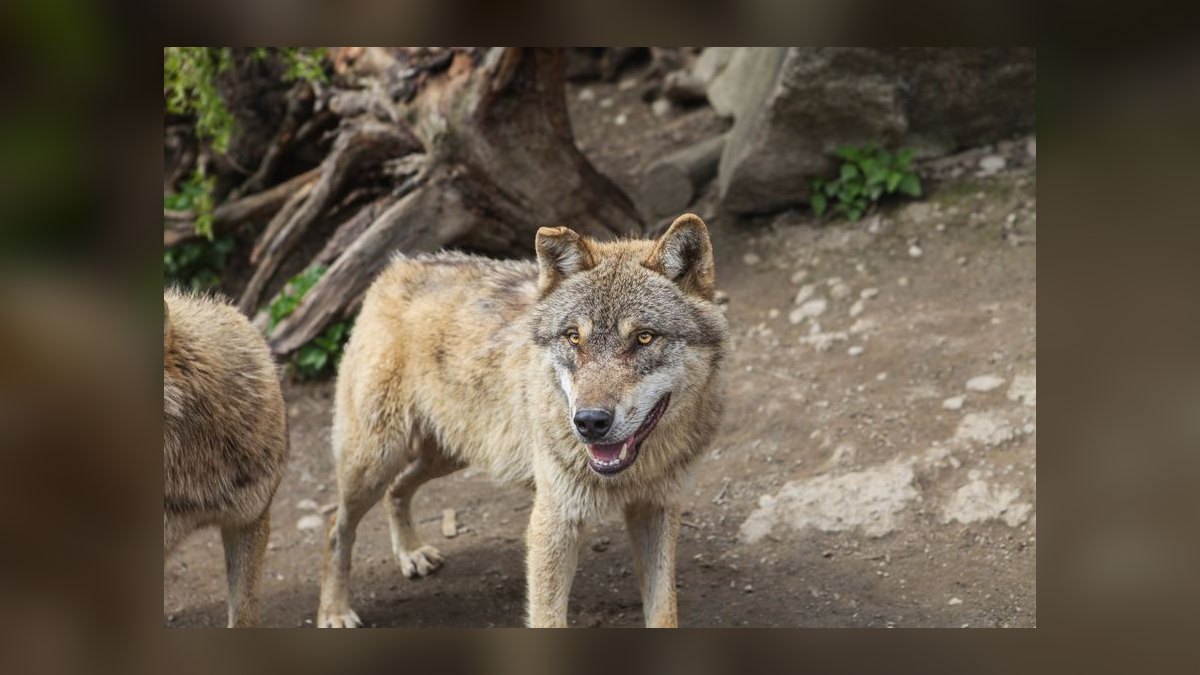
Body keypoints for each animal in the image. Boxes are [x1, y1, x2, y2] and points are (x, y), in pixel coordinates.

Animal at [317, 213, 728, 628]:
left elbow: (664, 610)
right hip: (375, 462)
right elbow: (547, 617)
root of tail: (397, 268)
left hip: (449, 454)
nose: (589, 422)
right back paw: (335, 611)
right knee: (337, 525)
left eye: (644, 338)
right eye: (573, 337)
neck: (633, 473)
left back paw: (411, 552)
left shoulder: (656, 509)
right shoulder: (552, 522)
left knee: (397, 490)